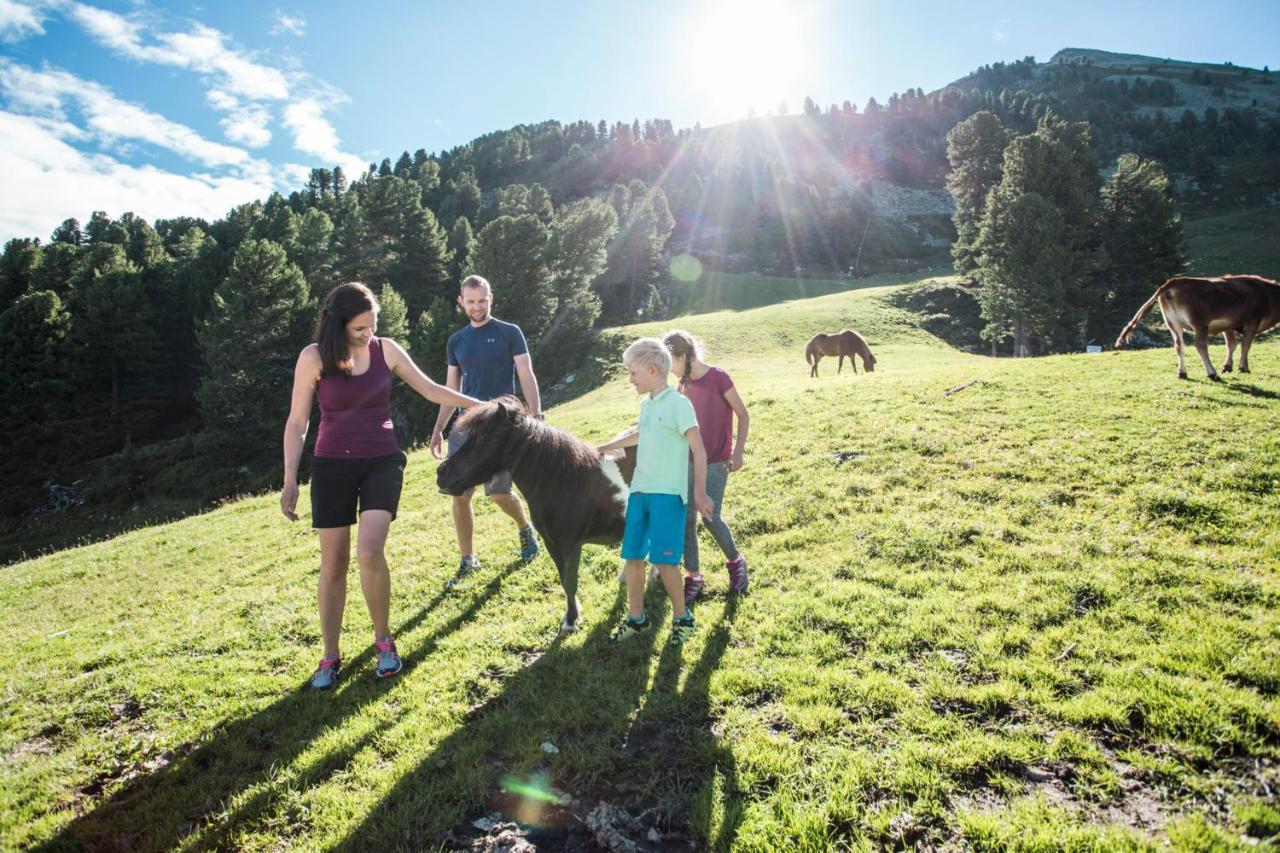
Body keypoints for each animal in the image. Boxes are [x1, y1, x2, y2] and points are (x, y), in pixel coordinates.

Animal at [437, 394, 637, 627]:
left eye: (484, 437)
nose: (441, 473)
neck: (567, 481)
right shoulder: (552, 543)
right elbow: (564, 580)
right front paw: (571, 616)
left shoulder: (570, 545)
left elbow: (570, 581)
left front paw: (571, 621)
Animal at [1111, 274, 1280, 379]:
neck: (1268, 294)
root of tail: (1174, 282)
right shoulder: (1252, 321)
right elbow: (1246, 344)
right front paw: (1243, 367)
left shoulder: (1228, 325)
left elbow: (1231, 344)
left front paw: (1228, 366)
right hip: (1199, 323)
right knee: (1200, 345)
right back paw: (1212, 374)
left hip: (1173, 323)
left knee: (1178, 346)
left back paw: (1182, 373)